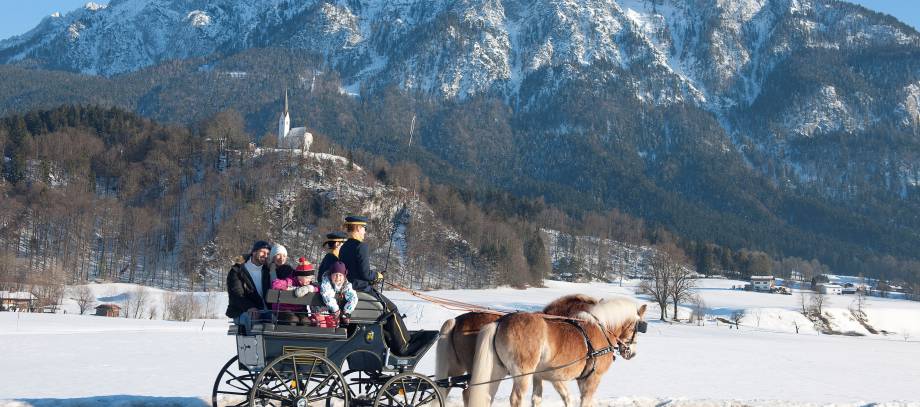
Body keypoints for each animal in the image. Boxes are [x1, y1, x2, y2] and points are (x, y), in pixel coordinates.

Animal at [468, 296, 648, 407]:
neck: (601, 329)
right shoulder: (592, 378)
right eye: (638, 327)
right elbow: (585, 402)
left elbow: (556, 398)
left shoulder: (548, 377)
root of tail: (499, 322)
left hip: (496, 372)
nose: (631, 353)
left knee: (487, 396)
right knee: (516, 399)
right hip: (522, 374)